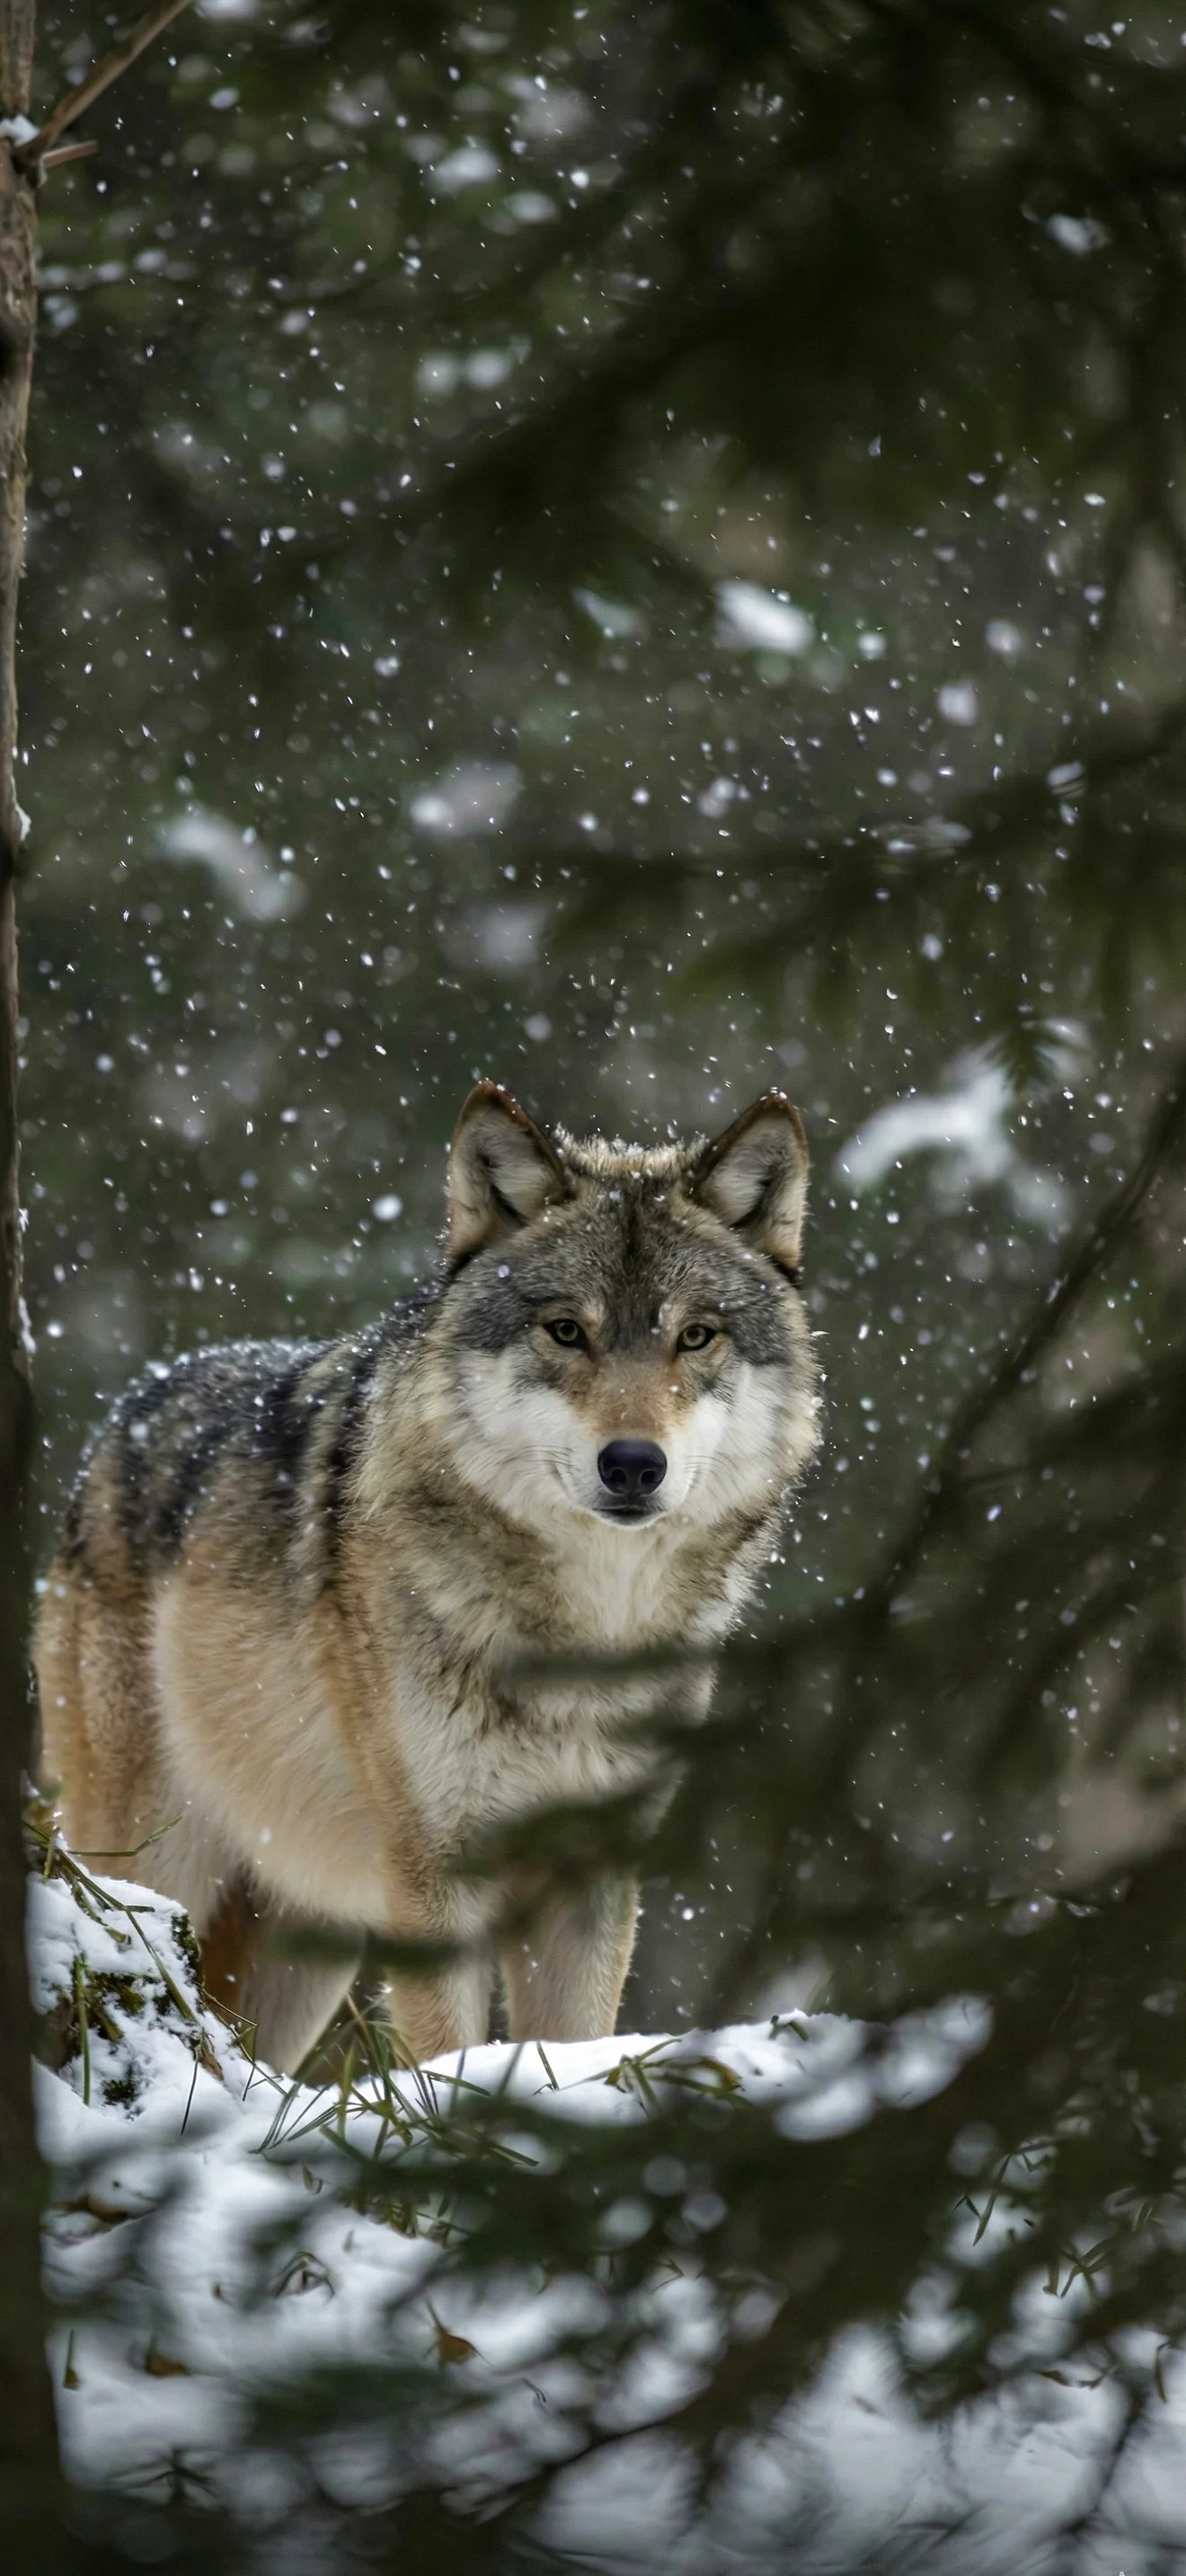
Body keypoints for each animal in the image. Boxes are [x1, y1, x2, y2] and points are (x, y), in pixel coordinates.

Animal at [36, 1083, 820, 2071]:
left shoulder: (591, 1877)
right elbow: (447, 2053)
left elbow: (575, 2043)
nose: (635, 1465)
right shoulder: (435, 1873)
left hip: (302, 1946)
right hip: (152, 1870)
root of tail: (116, 1425)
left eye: (697, 1337)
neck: (583, 1640)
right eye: (566, 1331)